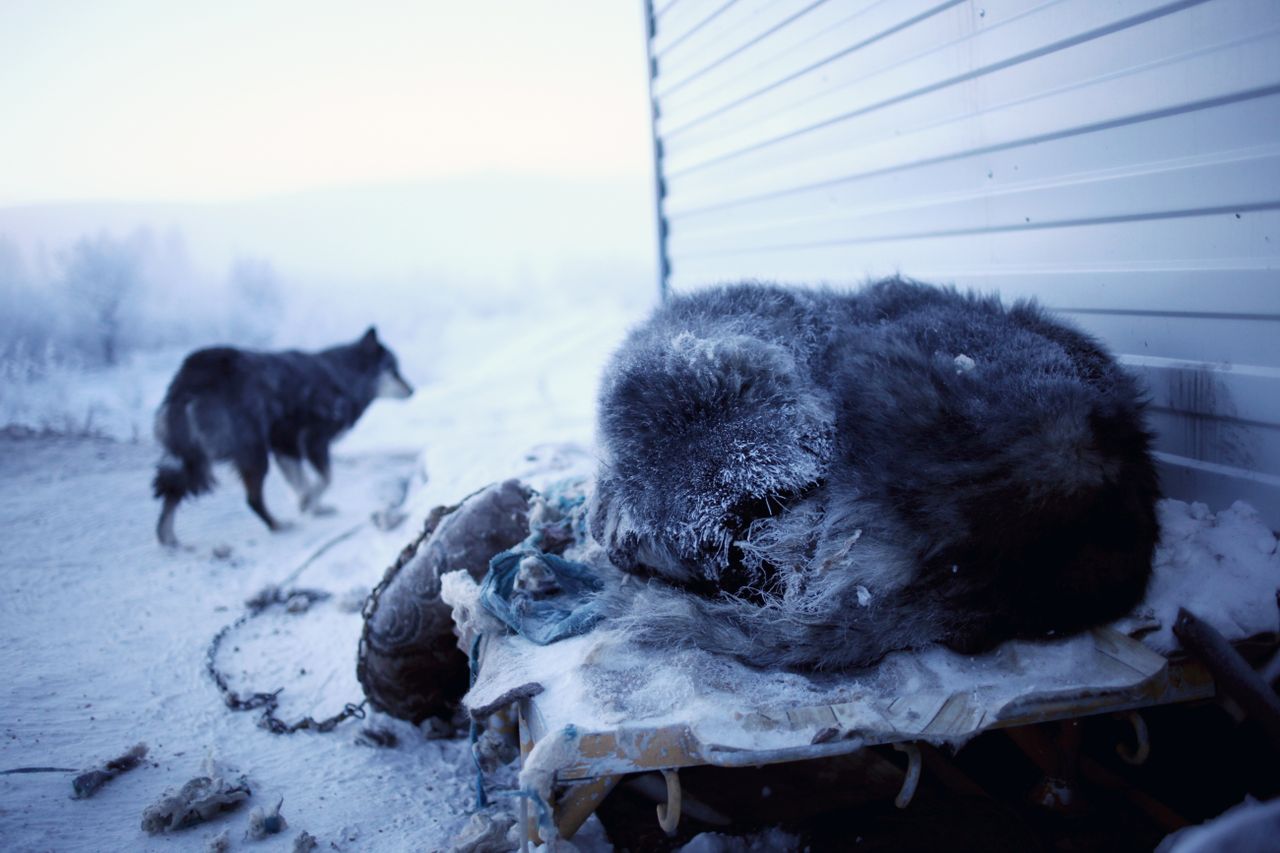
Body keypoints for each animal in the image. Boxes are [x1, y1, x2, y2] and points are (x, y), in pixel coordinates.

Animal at [152, 325, 414, 545]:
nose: (412, 390)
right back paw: (277, 524)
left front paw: (313, 506)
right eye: (394, 369)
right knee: (253, 499)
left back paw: (168, 538)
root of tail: (189, 381)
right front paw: (308, 502)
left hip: (193, 457)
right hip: (253, 452)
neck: (345, 375)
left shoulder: (285, 444)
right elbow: (325, 479)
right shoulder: (313, 441)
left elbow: (302, 481)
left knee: (172, 490)